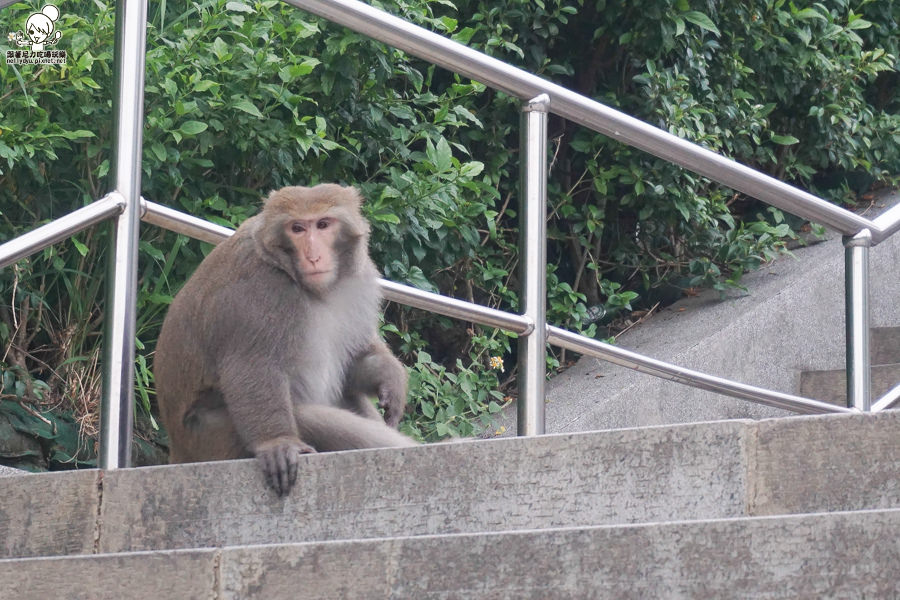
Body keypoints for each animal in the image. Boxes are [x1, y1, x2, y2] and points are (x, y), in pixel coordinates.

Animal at [156, 185, 418, 494]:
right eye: (297, 228)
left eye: (323, 224)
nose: (313, 256)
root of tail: (178, 452)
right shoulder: (261, 292)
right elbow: (252, 367)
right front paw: (277, 443)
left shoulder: (359, 280)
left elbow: (353, 364)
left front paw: (389, 376)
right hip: (209, 438)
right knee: (307, 416)